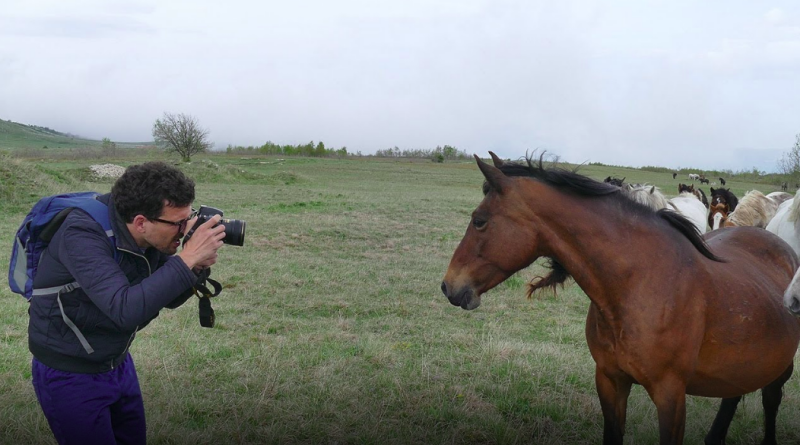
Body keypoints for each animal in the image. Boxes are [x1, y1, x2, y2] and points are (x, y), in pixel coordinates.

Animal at [440, 152, 796, 440]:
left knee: (771, 402)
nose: (448, 286)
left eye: (479, 221)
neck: (639, 286)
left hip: (779, 370)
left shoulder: (670, 395)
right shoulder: (610, 382)